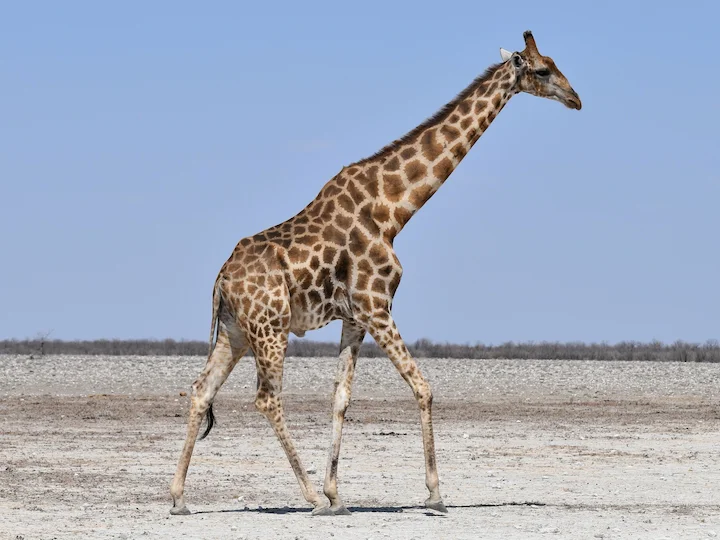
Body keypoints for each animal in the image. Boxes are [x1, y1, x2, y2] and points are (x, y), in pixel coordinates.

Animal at [170, 31, 581, 516]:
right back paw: (308, 497)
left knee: (201, 390)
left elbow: (340, 398)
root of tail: (221, 279)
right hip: (270, 328)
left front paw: (338, 494)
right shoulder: (377, 305)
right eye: (543, 70)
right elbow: (423, 388)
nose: (575, 98)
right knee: (266, 398)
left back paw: (178, 497)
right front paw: (434, 494)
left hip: (235, 331)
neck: (393, 210)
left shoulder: (355, 316)